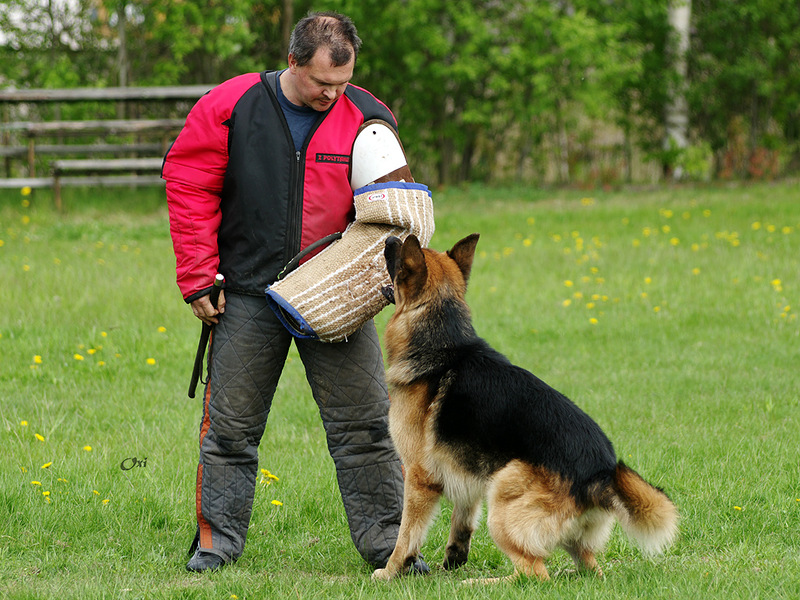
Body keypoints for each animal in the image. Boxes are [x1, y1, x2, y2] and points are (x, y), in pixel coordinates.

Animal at [373, 233, 678, 582]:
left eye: (398, 257)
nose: (390, 237)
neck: (443, 342)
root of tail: (601, 475)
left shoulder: (419, 478)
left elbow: (406, 534)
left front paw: (390, 570)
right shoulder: (468, 471)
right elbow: (462, 520)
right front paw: (453, 558)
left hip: (504, 486)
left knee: (533, 574)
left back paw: (479, 582)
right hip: (558, 530)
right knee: (588, 568)